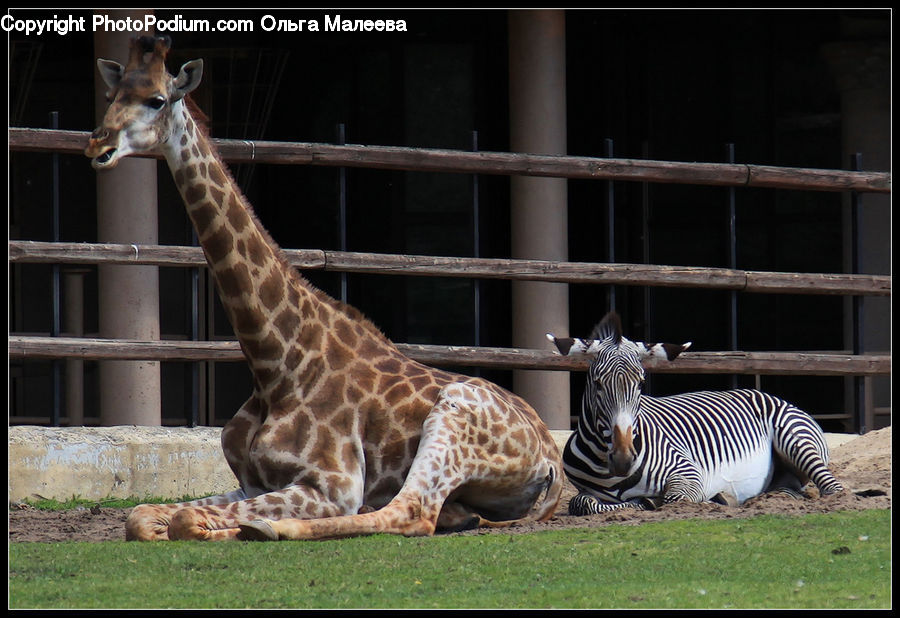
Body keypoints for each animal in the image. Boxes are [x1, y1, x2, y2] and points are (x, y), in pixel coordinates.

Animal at [84, 35, 563, 541]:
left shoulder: (333, 483)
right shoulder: (251, 482)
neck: (276, 365)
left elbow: (184, 518)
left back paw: (276, 528)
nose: (99, 142)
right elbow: (145, 515)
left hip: (453, 415)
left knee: (410, 512)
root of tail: (552, 458)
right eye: (112, 95)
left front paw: (249, 527)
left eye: (156, 99)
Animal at [547, 311, 844, 515]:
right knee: (789, 490)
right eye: (597, 384)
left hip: (794, 438)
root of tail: (766, 394)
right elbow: (582, 503)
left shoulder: (688, 472)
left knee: (833, 487)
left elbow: (672, 499)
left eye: (641, 383)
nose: (623, 458)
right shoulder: (586, 492)